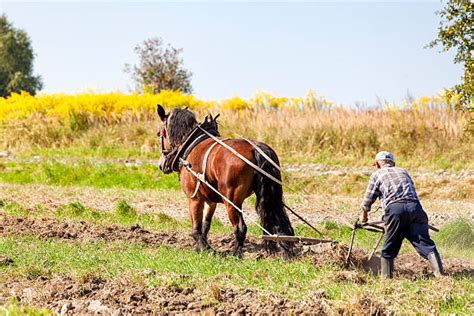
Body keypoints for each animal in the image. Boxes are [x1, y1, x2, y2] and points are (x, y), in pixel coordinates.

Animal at [157, 105, 294, 258]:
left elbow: (196, 228)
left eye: (159, 134)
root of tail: (256, 149)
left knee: (240, 228)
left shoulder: (194, 198)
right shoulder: (210, 201)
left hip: (231, 201)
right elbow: (206, 225)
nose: (161, 165)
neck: (191, 144)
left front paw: (204, 248)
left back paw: (236, 254)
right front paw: (201, 247)